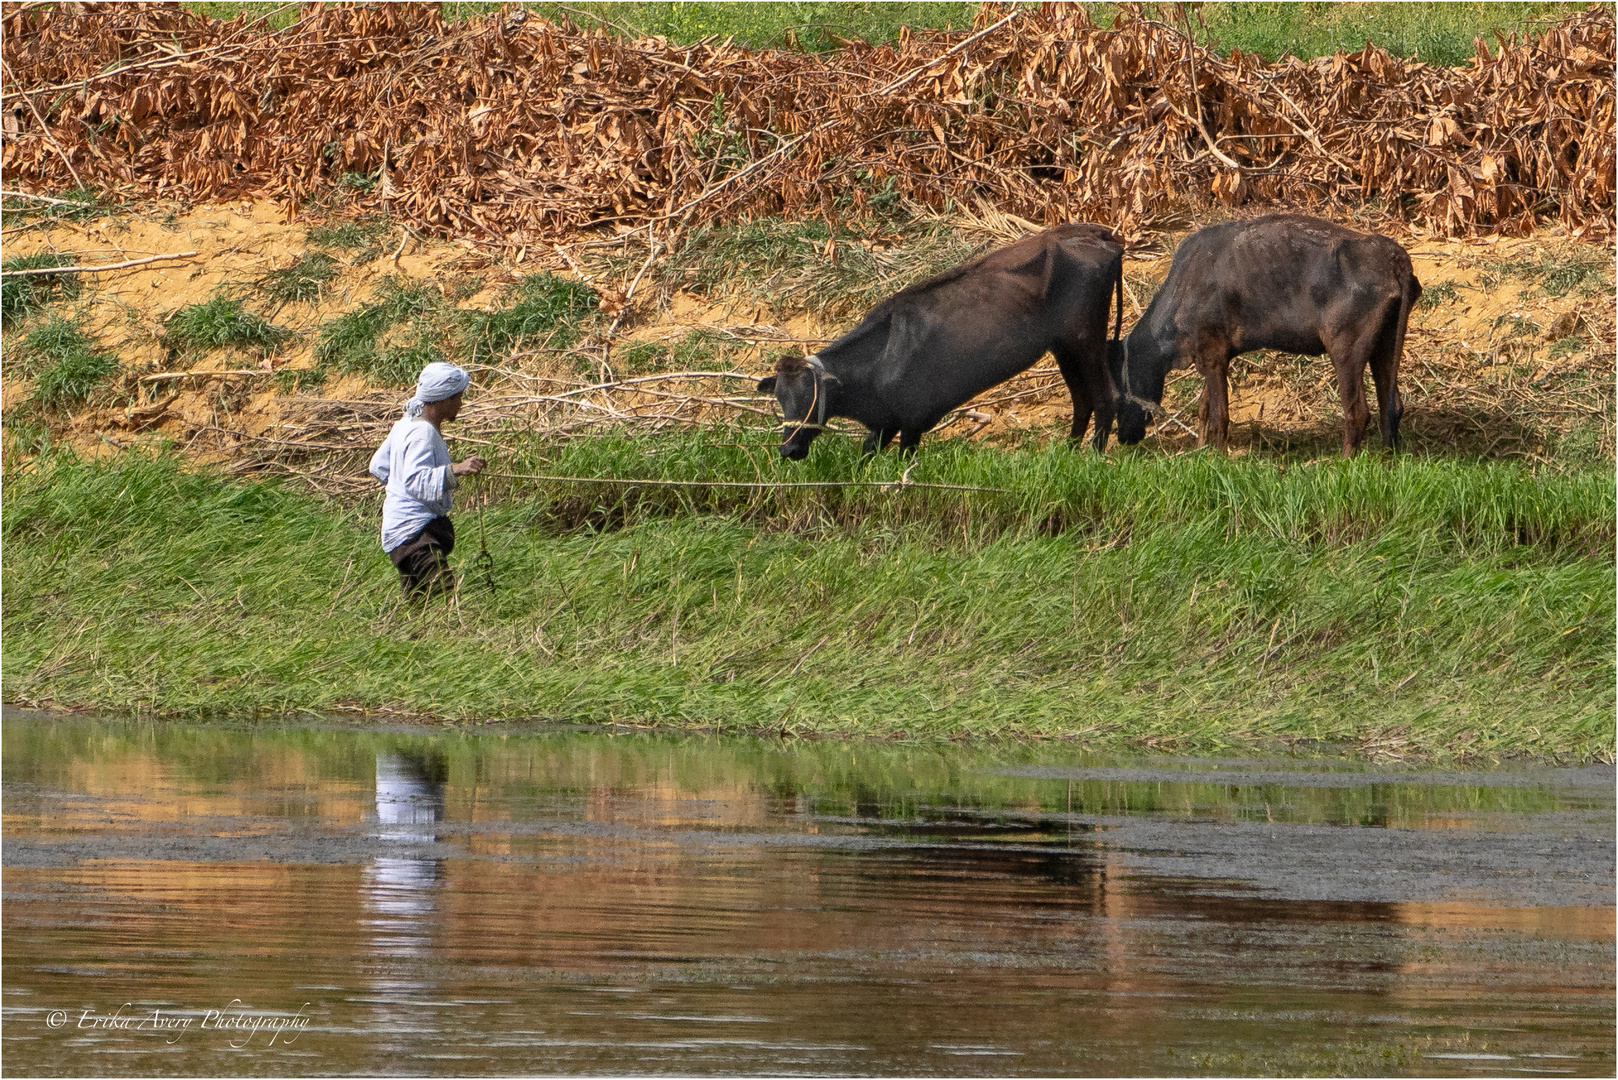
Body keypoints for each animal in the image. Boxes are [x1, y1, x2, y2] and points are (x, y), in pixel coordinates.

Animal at [760, 223, 1126, 459]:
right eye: (780, 398)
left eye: (810, 397)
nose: (788, 449)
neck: (879, 360)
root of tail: (1100, 234)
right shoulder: (885, 423)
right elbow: (865, 457)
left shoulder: (912, 421)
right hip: (1064, 346)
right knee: (1082, 399)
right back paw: (1067, 454)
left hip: (1086, 337)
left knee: (1105, 396)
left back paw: (1091, 459)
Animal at [1106, 215, 1423, 456]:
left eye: (1117, 399)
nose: (1123, 437)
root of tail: (1394, 257)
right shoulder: (1212, 356)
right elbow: (1204, 409)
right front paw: (1200, 452)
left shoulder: (1212, 355)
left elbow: (1219, 415)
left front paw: (1216, 458)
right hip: (1385, 346)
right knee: (1391, 406)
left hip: (1346, 351)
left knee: (1357, 412)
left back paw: (1343, 462)